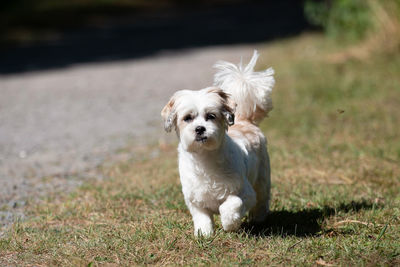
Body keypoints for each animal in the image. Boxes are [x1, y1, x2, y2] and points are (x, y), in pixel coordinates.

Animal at [161, 51, 274, 238]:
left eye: (211, 116)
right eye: (187, 118)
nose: (200, 128)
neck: (205, 159)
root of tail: (245, 120)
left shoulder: (245, 192)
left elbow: (231, 203)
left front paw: (229, 223)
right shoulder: (195, 199)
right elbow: (202, 217)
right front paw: (204, 234)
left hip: (262, 178)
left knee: (262, 199)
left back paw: (258, 219)